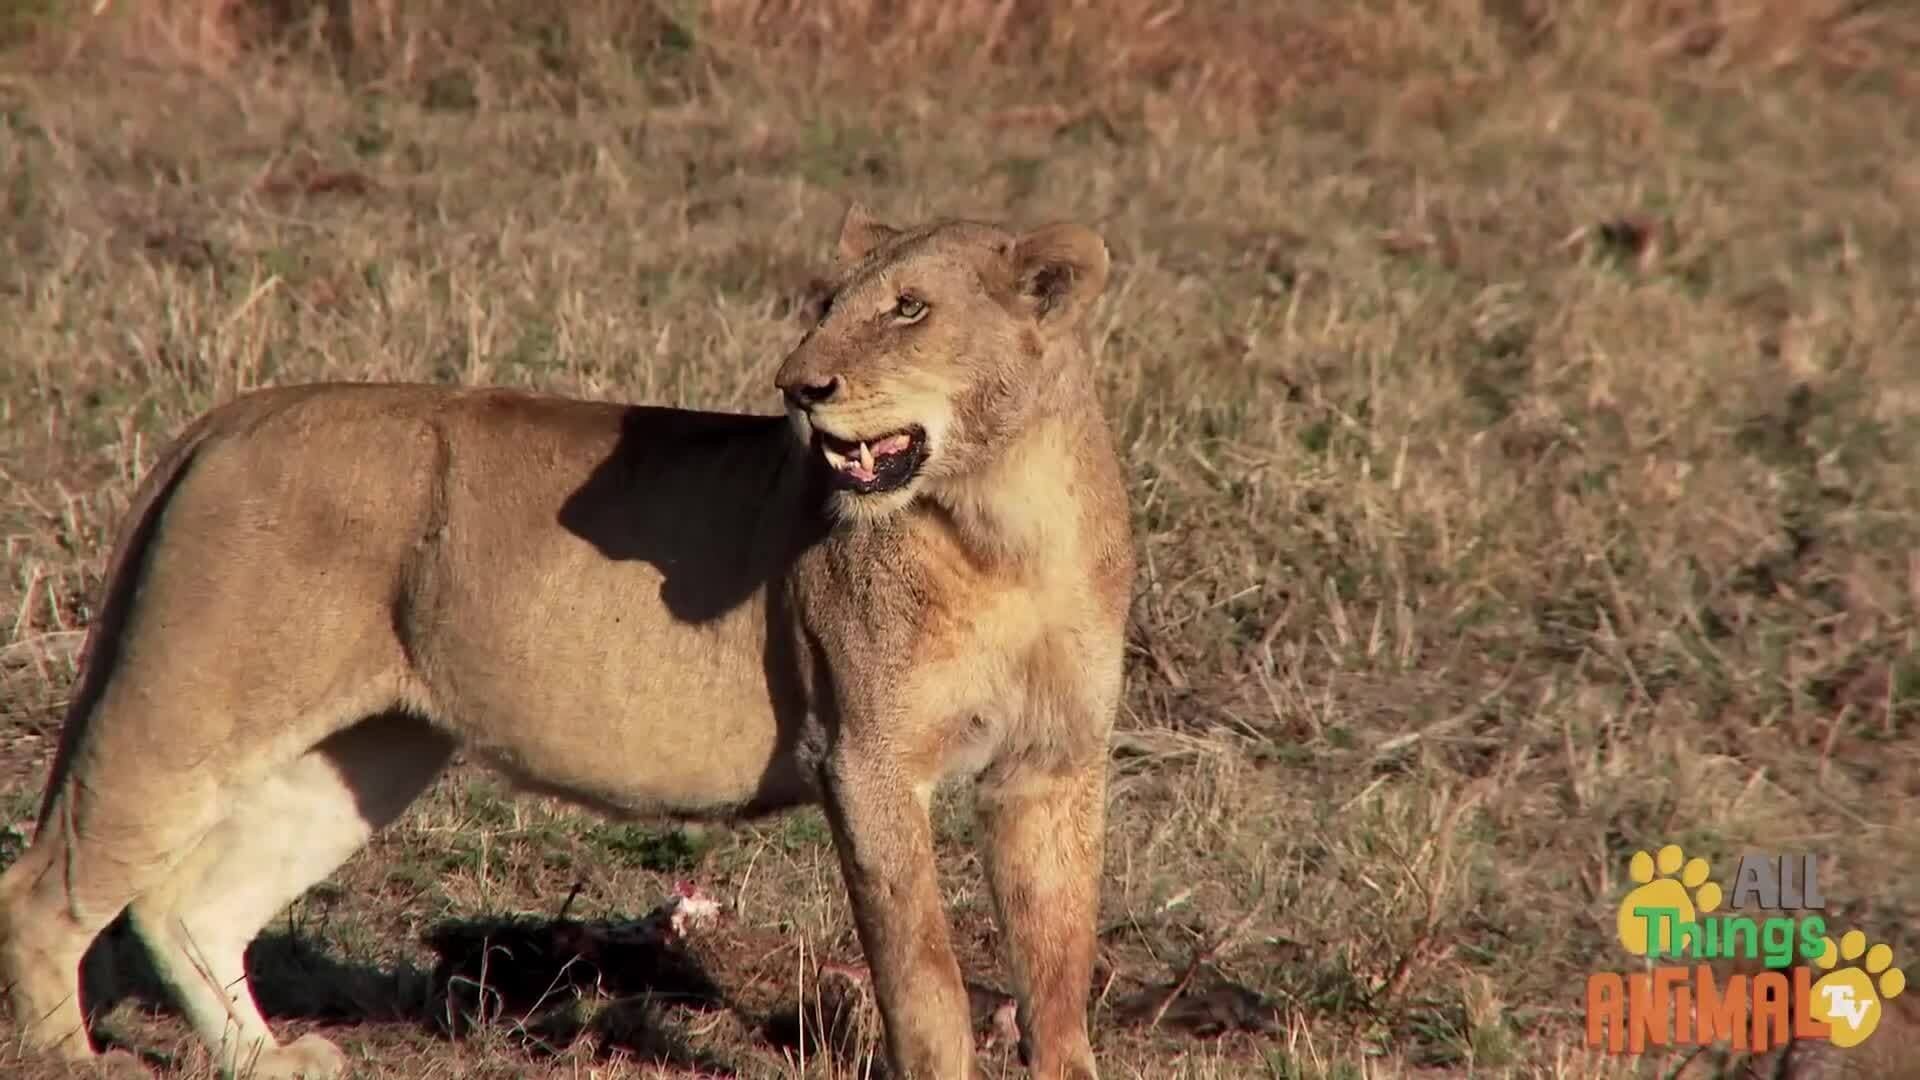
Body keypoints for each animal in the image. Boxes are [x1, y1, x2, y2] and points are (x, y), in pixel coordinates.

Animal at [0, 204, 1133, 1080]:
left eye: (910, 309)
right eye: (827, 308)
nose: (799, 387)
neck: (1003, 522)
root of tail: (231, 417)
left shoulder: (1054, 767)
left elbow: (1057, 960)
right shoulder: (866, 758)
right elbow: (923, 972)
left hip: (362, 753)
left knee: (189, 904)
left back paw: (268, 1059)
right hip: (191, 699)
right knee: (49, 888)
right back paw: (70, 1059)